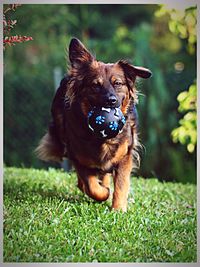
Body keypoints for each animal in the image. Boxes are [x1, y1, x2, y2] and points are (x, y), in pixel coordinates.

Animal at [36, 38, 152, 214]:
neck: (101, 139)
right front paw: (103, 192)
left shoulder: (125, 155)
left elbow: (121, 184)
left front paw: (118, 209)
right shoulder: (77, 155)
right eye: (95, 85)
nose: (111, 101)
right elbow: (91, 185)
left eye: (118, 83)